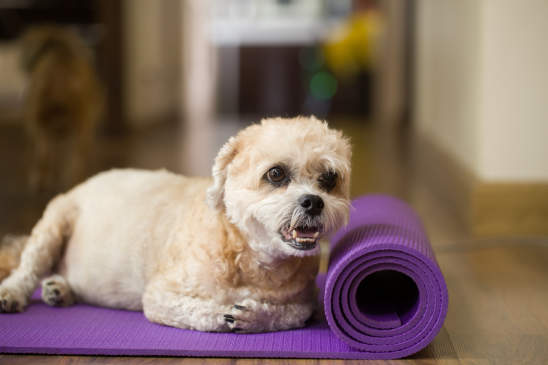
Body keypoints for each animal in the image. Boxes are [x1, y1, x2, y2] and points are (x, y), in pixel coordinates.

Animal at [0, 117, 352, 332]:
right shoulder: (160, 296)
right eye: (276, 174)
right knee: (27, 270)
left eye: (329, 179)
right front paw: (227, 313)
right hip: (53, 224)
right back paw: (15, 292)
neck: (248, 257)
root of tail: (81, 184)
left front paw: (257, 315)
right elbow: (204, 312)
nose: (314, 202)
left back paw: (60, 289)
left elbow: (295, 313)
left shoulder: (305, 299)